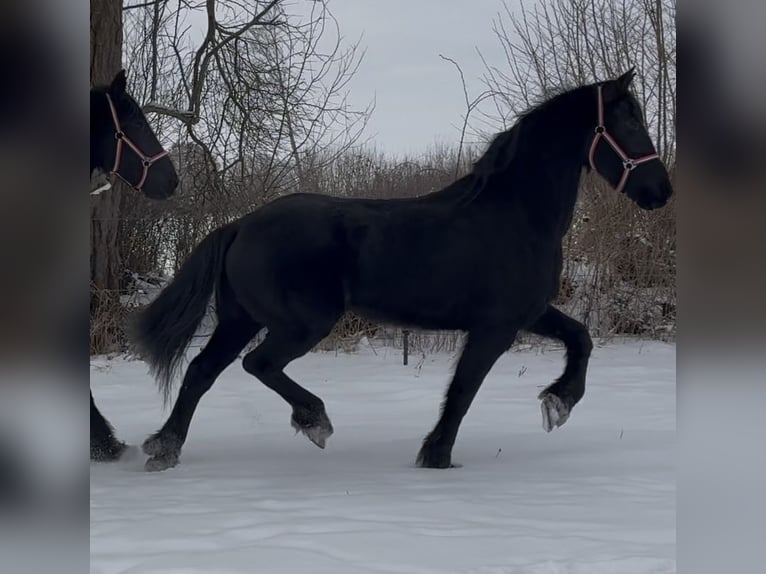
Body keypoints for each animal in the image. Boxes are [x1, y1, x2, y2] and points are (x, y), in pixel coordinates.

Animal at [131, 69, 672, 472]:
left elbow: (581, 337)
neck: (517, 214)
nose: (660, 191)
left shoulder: (531, 312)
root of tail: (241, 223)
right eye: (629, 122)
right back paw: (314, 420)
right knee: (258, 365)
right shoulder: (495, 327)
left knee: (201, 371)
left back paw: (164, 448)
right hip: (299, 324)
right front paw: (437, 455)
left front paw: (559, 403)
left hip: (241, 319)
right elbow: (463, 390)